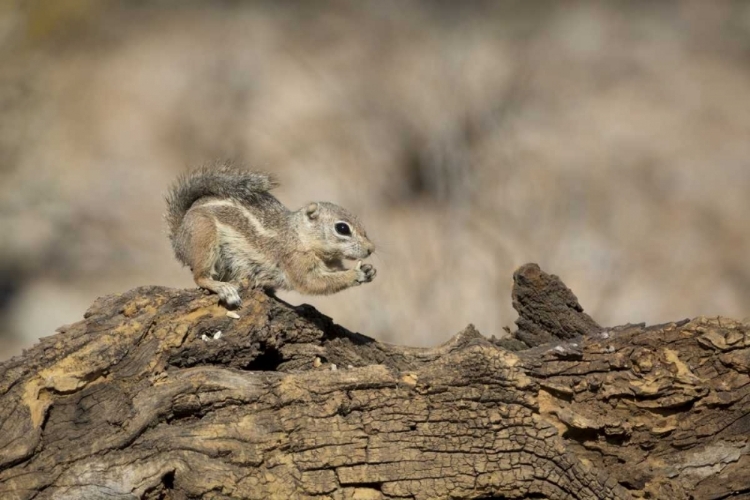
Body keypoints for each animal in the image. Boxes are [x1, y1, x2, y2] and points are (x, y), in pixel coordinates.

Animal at [164, 162, 376, 306]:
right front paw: (355, 274)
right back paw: (225, 289)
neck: (299, 236)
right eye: (342, 228)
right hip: (205, 239)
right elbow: (312, 283)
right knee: (200, 277)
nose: (371, 249)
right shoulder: (294, 261)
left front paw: (369, 270)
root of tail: (179, 237)